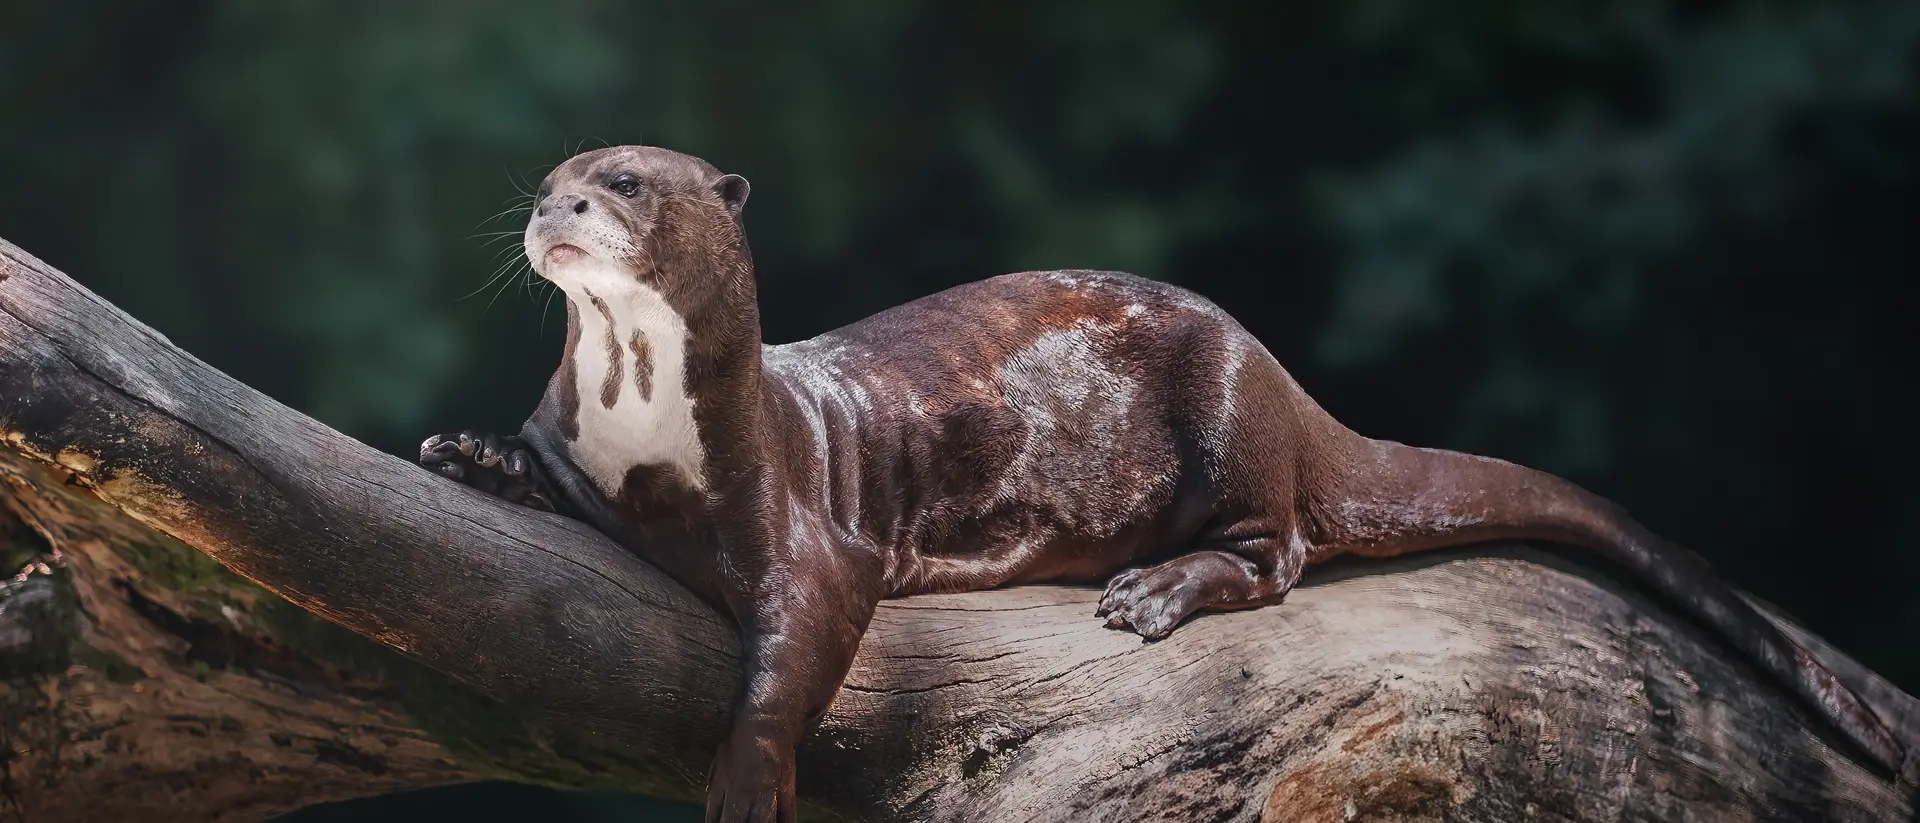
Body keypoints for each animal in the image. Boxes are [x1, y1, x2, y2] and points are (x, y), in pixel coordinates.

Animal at [420, 145, 1908, 822]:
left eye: (622, 180)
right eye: (547, 177)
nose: (553, 206)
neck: (643, 431)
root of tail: (1290, 383)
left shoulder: (793, 513)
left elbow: (791, 643)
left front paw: (747, 772)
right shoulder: (578, 448)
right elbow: (529, 466)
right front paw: (462, 454)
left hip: (1230, 416)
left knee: (1284, 550)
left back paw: (1152, 591)